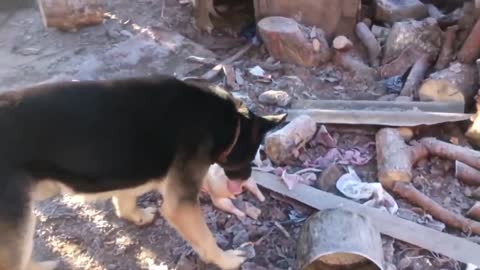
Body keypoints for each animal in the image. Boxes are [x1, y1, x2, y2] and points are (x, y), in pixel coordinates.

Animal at [0, 75, 284, 270]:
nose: (246, 179)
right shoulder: (181, 204)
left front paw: (136, 216)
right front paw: (226, 259)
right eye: (251, 155)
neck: (228, 121)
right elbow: (206, 240)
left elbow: (125, 200)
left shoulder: (128, 172)